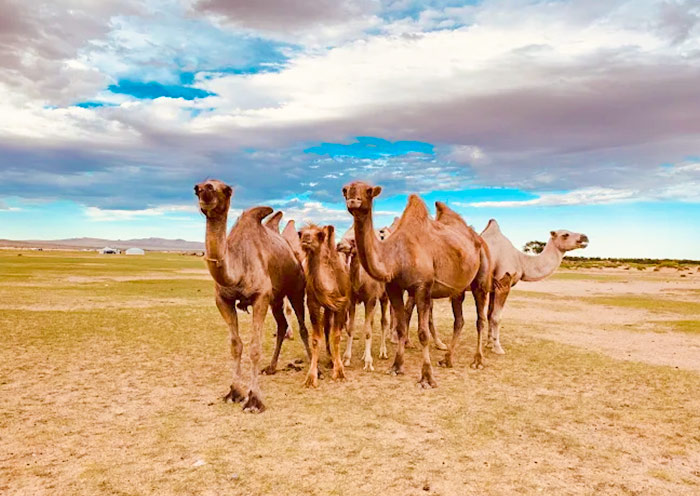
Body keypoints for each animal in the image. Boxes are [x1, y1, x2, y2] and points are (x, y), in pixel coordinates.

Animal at [195, 179, 310, 413]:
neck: (237, 267)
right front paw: (234, 392)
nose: (205, 190)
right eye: (197, 188)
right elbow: (235, 345)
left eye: (227, 189)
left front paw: (254, 400)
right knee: (282, 324)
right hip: (275, 299)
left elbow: (255, 347)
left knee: (303, 326)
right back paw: (272, 367)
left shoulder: (260, 297)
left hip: (295, 290)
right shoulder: (223, 301)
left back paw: (317, 366)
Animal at [299, 224, 351, 387]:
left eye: (320, 234)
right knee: (326, 327)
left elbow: (337, 336)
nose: (305, 239)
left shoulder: (341, 304)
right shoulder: (313, 304)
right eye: (300, 233)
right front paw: (311, 377)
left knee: (329, 328)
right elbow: (316, 339)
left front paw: (339, 372)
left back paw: (332, 359)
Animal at [336, 237, 389, 371]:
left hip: (384, 297)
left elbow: (368, 331)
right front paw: (347, 359)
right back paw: (365, 354)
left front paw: (369, 362)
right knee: (371, 322)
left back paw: (383, 352)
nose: (339, 245)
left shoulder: (370, 299)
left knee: (384, 321)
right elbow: (351, 328)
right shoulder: (352, 301)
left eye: (352, 240)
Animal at [343, 181, 486, 388]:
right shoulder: (393, 288)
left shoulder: (422, 287)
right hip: (457, 290)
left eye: (369, 191)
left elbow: (423, 333)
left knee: (480, 319)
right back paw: (447, 359)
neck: (395, 256)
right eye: (345, 190)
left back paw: (477, 360)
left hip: (481, 278)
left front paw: (427, 378)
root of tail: (476, 237)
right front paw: (396, 367)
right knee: (459, 320)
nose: (353, 201)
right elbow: (401, 328)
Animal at [480, 220, 588, 354]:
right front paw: (498, 348)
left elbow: (490, 315)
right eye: (565, 234)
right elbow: (496, 317)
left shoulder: (493, 288)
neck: (521, 260)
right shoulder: (504, 284)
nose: (585, 237)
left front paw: (489, 344)